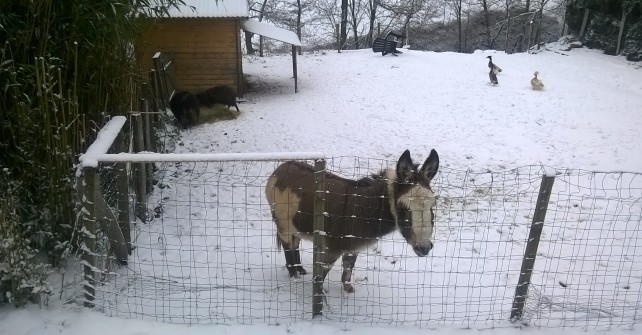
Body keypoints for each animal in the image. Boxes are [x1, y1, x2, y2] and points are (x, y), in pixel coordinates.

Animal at [262, 151, 438, 292]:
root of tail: (281, 168)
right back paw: (294, 275)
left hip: (296, 224)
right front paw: (320, 294)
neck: (365, 209)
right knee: (288, 246)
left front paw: (348, 289)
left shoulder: (353, 246)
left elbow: (348, 267)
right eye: (403, 207)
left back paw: (301, 271)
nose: (424, 248)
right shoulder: (332, 248)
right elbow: (322, 273)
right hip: (284, 224)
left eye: (433, 204)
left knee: (295, 244)